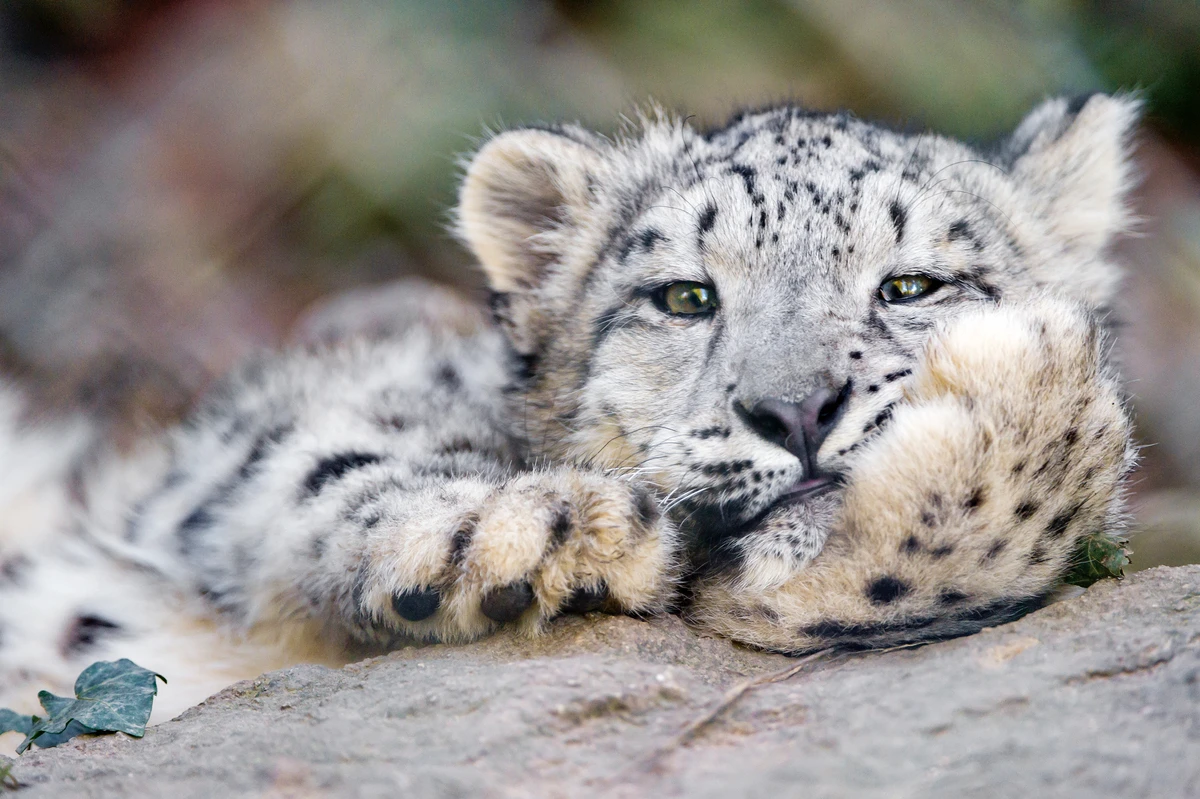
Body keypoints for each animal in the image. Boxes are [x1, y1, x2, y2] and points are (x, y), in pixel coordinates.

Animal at [0, 93, 1137, 729]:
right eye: (685, 296)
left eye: (911, 285)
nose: (797, 408)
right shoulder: (246, 448)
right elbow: (327, 457)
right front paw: (533, 532)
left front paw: (1031, 387)